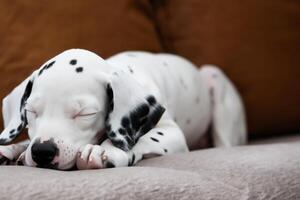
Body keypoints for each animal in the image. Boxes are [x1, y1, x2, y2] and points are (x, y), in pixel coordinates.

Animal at [0, 49, 246, 170]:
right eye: (31, 112)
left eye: (85, 114)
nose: (42, 151)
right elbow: (26, 141)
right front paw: (13, 149)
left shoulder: (173, 133)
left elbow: (144, 138)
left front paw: (103, 150)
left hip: (215, 79)